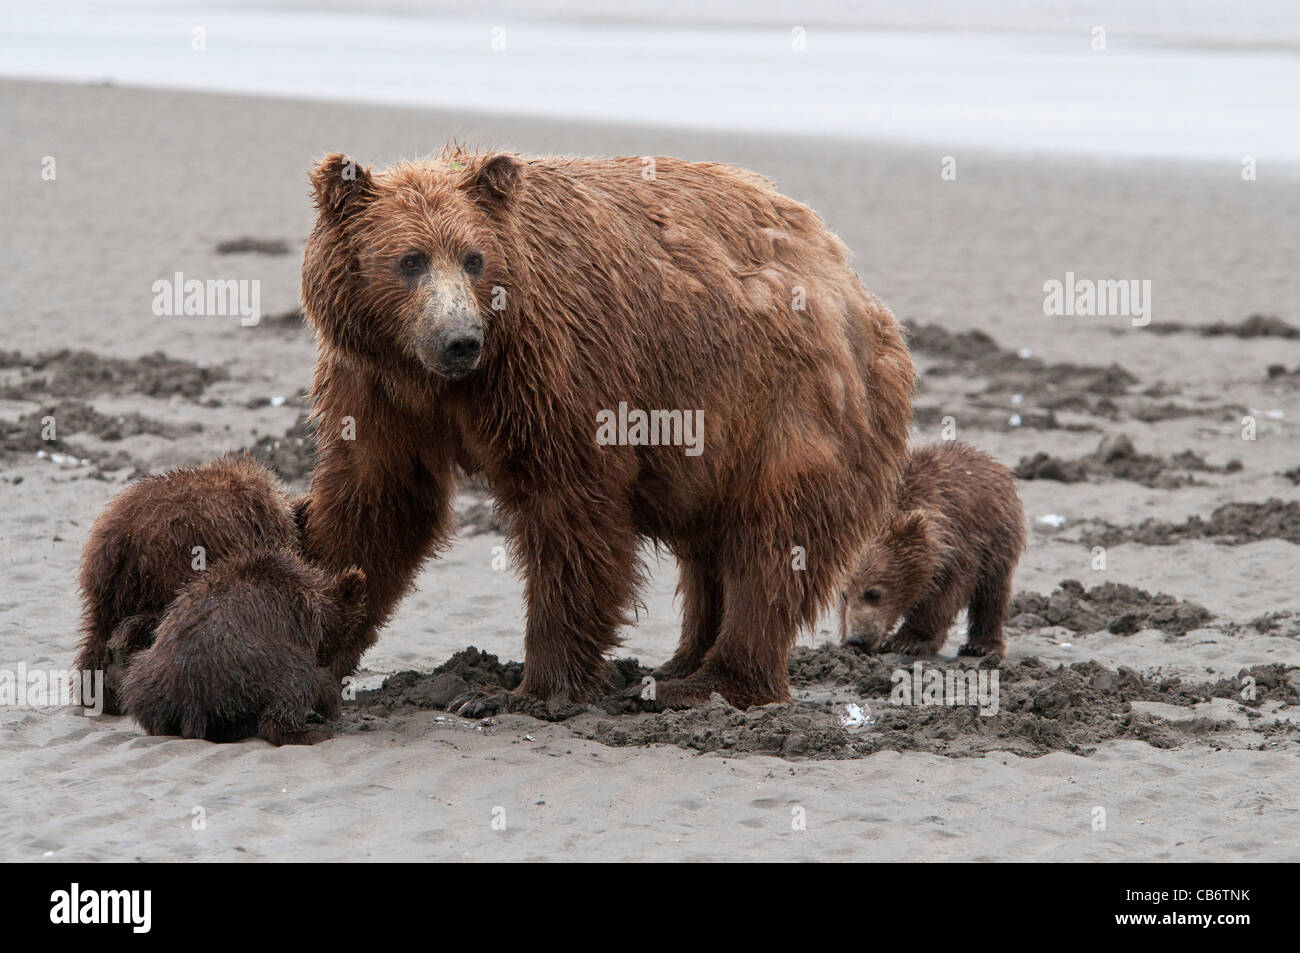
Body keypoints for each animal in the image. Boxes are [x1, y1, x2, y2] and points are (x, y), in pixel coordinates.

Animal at [302, 148, 915, 712]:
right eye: (410, 259)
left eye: (473, 258)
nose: (460, 339)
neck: (443, 383)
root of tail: (855, 286)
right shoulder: (376, 386)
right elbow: (379, 501)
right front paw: (323, 641)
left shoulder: (553, 369)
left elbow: (569, 507)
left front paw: (529, 687)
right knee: (711, 550)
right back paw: (682, 660)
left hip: (787, 406)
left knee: (772, 545)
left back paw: (713, 681)